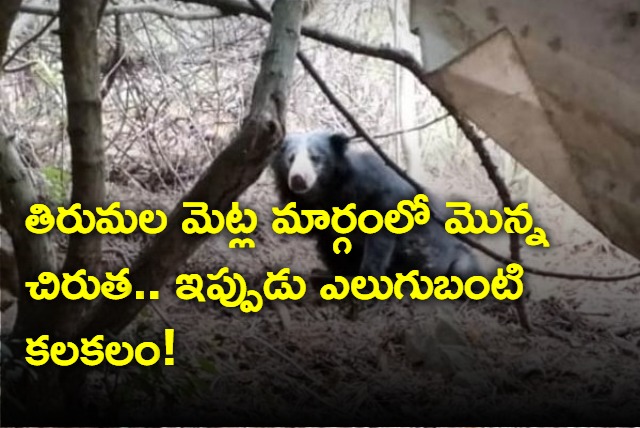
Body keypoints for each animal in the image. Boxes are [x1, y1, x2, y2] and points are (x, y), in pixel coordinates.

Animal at [268, 130, 480, 280]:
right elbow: (333, 246)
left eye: (315, 158)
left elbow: (380, 240)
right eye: (291, 158)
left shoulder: (378, 193)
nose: (298, 180)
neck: (327, 194)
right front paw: (331, 274)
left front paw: (366, 278)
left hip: (455, 260)